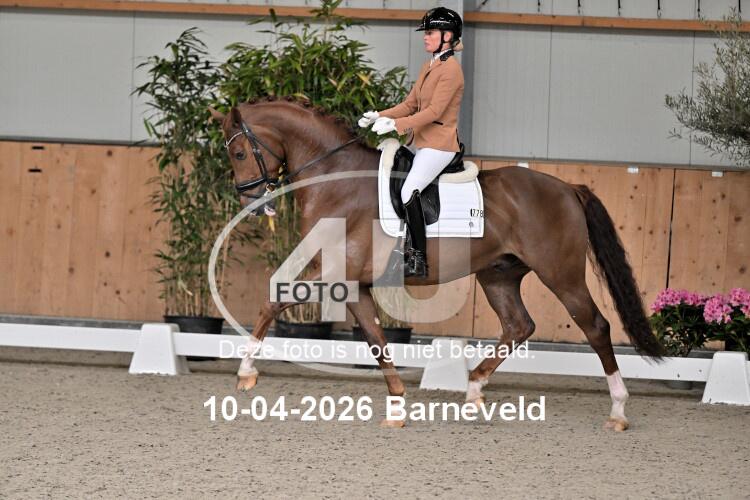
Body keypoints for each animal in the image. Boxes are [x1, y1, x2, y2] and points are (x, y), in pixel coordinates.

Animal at [209, 96, 664, 431]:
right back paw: (474, 390)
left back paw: (618, 411)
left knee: (595, 327)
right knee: (519, 326)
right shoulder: (355, 285)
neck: (336, 181)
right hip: (498, 275)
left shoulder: (336, 274)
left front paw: (246, 372)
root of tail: (568, 187)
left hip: (561, 274)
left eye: (238, 152)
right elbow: (376, 338)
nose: (251, 202)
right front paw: (397, 407)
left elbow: (275, 299)